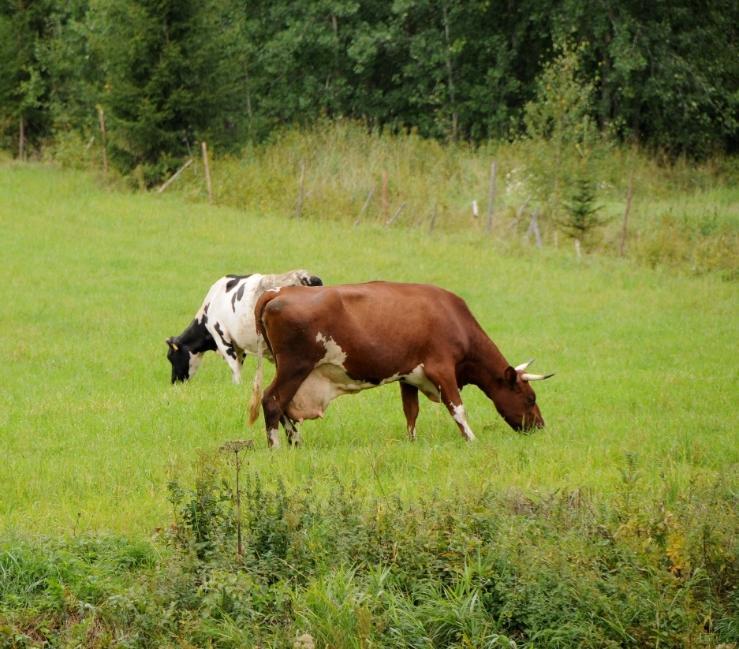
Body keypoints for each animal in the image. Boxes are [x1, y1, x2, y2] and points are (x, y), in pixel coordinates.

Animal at [166, 266, 322, 382]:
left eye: (170, 357)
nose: (174, 382)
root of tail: (305, 276)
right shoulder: (239, 345)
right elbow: (239, 365)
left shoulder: (222, 336)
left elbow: (234, 367)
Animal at [250, 278, 556, 446]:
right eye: (530, 398)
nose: (540, 426)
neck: (454, 319)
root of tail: (278, 292)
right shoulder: (441, 369)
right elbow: (458, 408)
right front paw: (471, 440)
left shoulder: (408, 376)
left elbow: (411, 412)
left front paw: (412, 442)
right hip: (295, 367)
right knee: (273, 401)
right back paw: (277, 448)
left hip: (292, 370)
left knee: (285, 408)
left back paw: (296, 443)